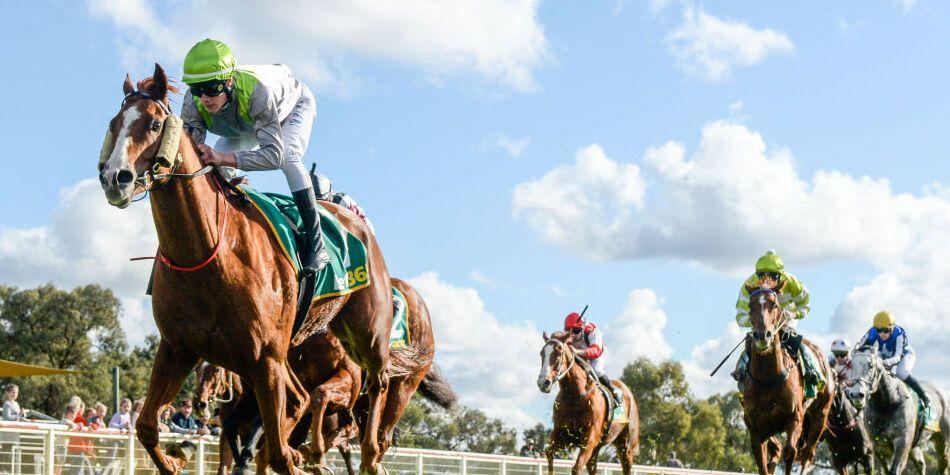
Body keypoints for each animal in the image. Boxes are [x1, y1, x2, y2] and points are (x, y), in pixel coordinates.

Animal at [97, 64, 394, 475]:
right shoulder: (178, 347)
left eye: (155, 124)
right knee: (301, 399)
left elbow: (280, 453)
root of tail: (356, 219)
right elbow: (145, 426)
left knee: (378, 382)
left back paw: (369, 452)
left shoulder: (265, 360)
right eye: (114, 123)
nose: (115, 177)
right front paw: (176, 456)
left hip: (367, 332)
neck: (206, 251)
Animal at [536, 332, 640, 474]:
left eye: (559, 351)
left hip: (626, 443)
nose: (543, 382)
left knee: (626, 465)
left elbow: (577, 467)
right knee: (592, 466)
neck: (574, 397)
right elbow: (549, 453)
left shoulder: (590, 438)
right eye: (542, 353)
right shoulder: (561, 433)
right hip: (598, 446)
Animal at [744, 278, 832, 475]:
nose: (762, 336)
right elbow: (762, 464)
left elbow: (790, 451)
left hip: (819, 415)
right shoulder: (756, 430)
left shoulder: (795, 417)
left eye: (774, 304)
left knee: (807, 453)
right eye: (750, 306)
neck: (768, 379)